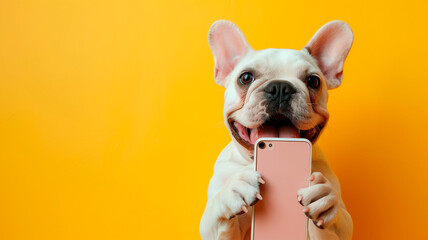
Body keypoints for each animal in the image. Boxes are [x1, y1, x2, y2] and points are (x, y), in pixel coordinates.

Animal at [201, 20, 354, 240]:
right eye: (245, 78)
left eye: (313, 81)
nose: (280, 87)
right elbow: (217, 214)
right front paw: (232, 190)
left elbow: (336, 219)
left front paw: (326, 200)